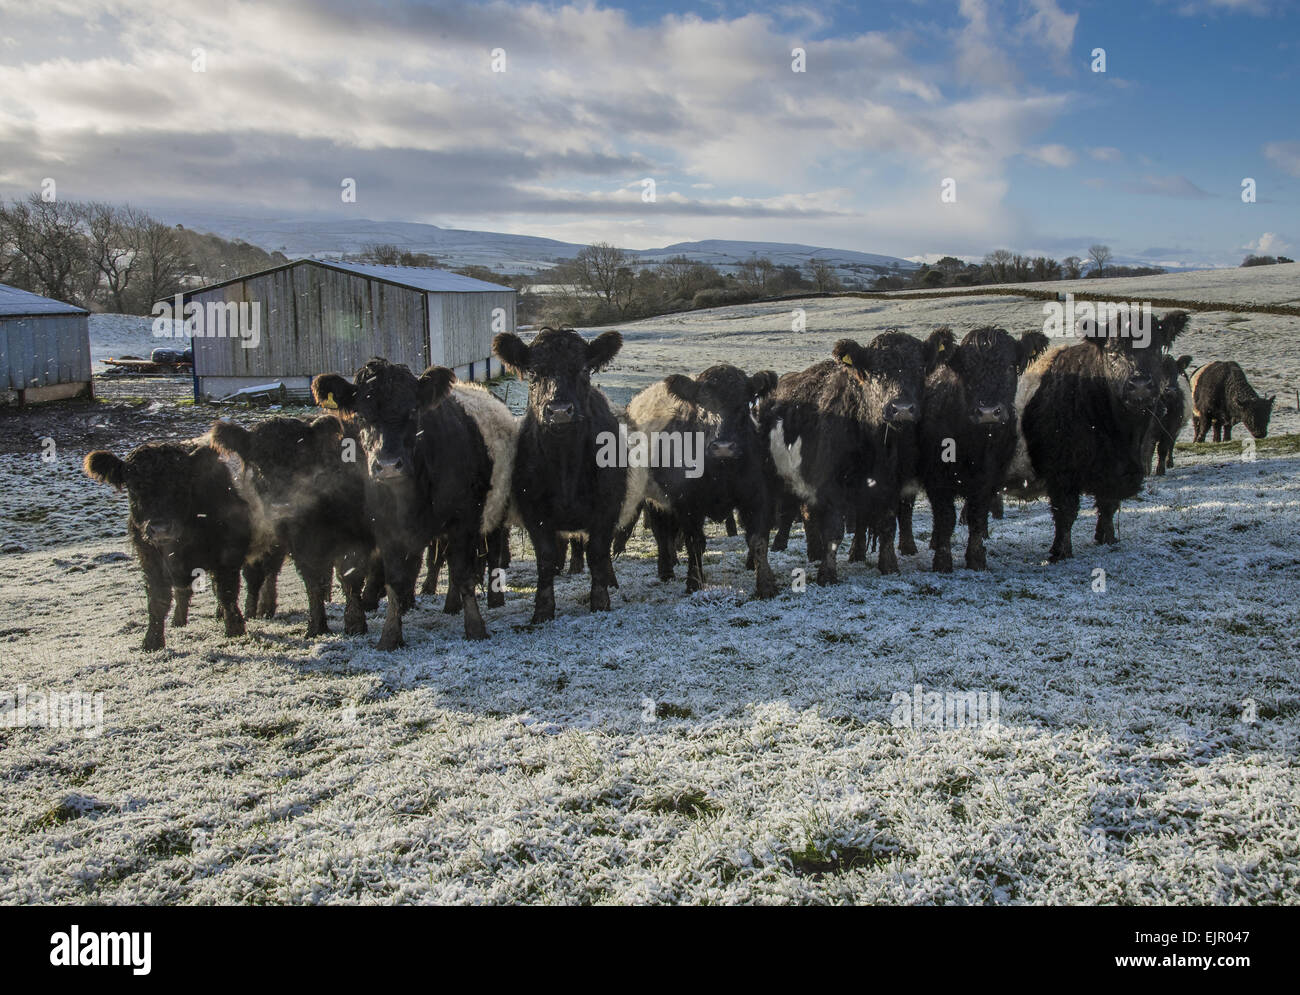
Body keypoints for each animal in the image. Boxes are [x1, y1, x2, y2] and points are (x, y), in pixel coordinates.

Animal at [84, 439, 253, 645]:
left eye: (180, 484)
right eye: (133, 487)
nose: (160, 528)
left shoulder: (225, 554)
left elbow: (225, 591)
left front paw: (235, 630)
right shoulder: (150, 560)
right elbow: (158, 600)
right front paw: (152, 641)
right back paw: (179, 621)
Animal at [312, 361, 514, 647]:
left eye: (413, 411)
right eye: (360, 415)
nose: (387, 465)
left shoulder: (462, 521)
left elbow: (463, 572)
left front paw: (475, 627)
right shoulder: (386, 529)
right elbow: (394, 580)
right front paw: (389, 635)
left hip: (495, 511)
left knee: (493, 551)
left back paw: (495, 599)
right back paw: (450, 604)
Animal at [491, 326, 639, 621]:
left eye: (583, 369)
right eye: (534, 371)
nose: (559, 411)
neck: (565, 465)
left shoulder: (607, 507)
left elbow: (597, 552)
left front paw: (600, 601)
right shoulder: (533, 511)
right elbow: (546, 558)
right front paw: (543, 609)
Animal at [626, 364, 774, 598]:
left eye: (744, 406)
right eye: (702, 407)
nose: (723, 447)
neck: (720, 470)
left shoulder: (755, 497)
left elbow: (757, 541)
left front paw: (766, 586)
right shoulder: (687, 504)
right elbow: (695, 543)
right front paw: (693, 583)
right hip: (654, 500)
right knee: (661, 533)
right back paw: (666, 571)